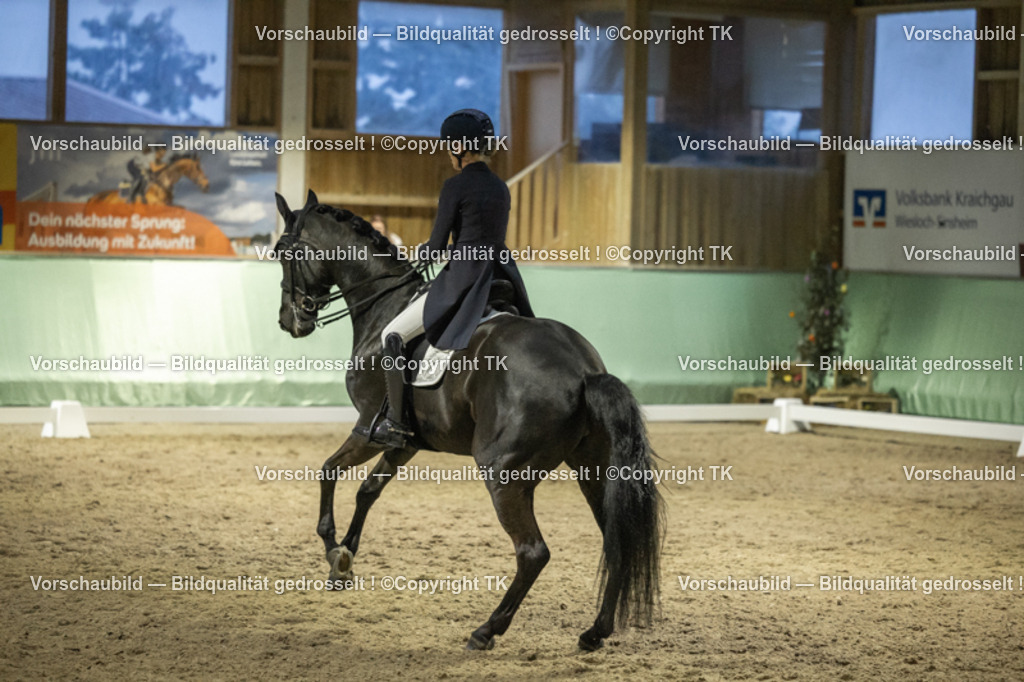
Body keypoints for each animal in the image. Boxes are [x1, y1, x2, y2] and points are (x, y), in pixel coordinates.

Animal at [274, 190, 663, 651]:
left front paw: (333, 549)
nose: (290, 321)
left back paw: (486, 630)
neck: (384, 305)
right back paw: (594, 632)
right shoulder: (404, 442)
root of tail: (584, 371)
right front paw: (344, 561)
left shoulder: (369, 428)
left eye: (282, 253)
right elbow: (368, 491)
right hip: (593, 468)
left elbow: (328, 471)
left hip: (504, 472)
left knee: (533, 552)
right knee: (615, 540)